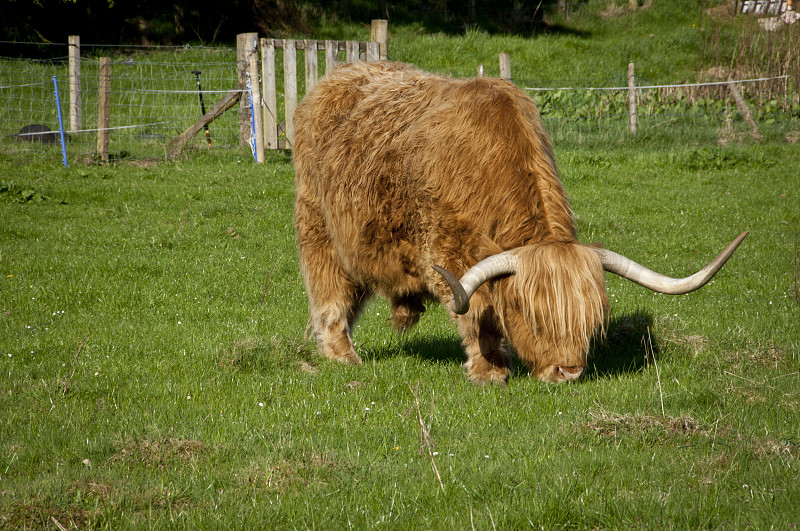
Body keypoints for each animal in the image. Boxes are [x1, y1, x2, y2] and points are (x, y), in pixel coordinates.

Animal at [290, 62, 748, 384]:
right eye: (536, 318)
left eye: (589, 322)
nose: (569, 371)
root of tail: (336, 77)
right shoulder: (449, 252)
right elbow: (475, 312)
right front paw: (489, 371)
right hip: (318, 228)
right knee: (330, 294)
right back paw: (343, 357)